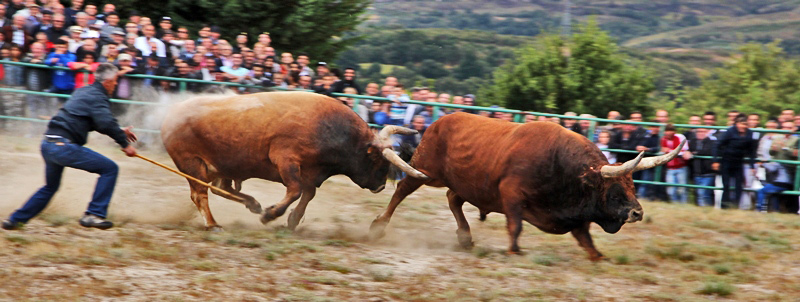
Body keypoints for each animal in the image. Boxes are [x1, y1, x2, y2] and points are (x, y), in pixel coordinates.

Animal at [159, 91, 428, 230]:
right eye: (380, 164)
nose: (381, 186)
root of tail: (171, 114)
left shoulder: (312, 172)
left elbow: (307, 193)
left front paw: (291, 219)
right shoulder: (286, 160)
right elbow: (296, 190)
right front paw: (271, 214)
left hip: (222, 166)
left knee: (219, 189)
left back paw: (252, 203)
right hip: (192, 164)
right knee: (200, 195)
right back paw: (214, 223)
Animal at [368, 113, 680, 260]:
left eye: (633, 185)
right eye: (615, 191)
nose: (637, 213)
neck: (560, 164)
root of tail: (437, 123)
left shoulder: (576, 217)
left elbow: (587, 241)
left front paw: (599, 256)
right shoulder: (512, 196)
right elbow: (515, 225)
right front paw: (514, 250)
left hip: (456, 181)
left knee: (453, 198)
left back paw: (465, 237)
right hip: (424, 170)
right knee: (402, 189)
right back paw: (378, 226)